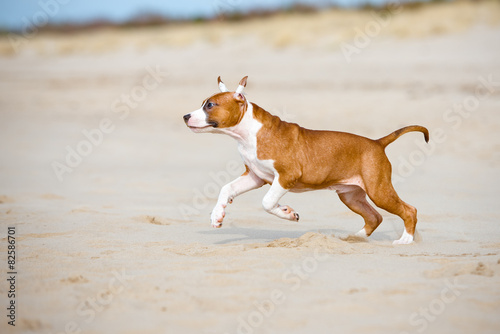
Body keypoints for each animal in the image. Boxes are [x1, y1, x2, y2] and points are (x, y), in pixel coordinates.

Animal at [184, 75, 430, 244]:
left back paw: (406, 240)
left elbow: (267, 202)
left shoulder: (286, 177)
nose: (185, 116)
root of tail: (377, 142)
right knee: (374, 217)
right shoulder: (255, 176)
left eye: (210, 105)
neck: (248, 133)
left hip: (378, 190)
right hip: (351, 196)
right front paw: (217, 215)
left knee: (409, 210)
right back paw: (356, 238)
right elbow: (226, 188)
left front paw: (286, 212)